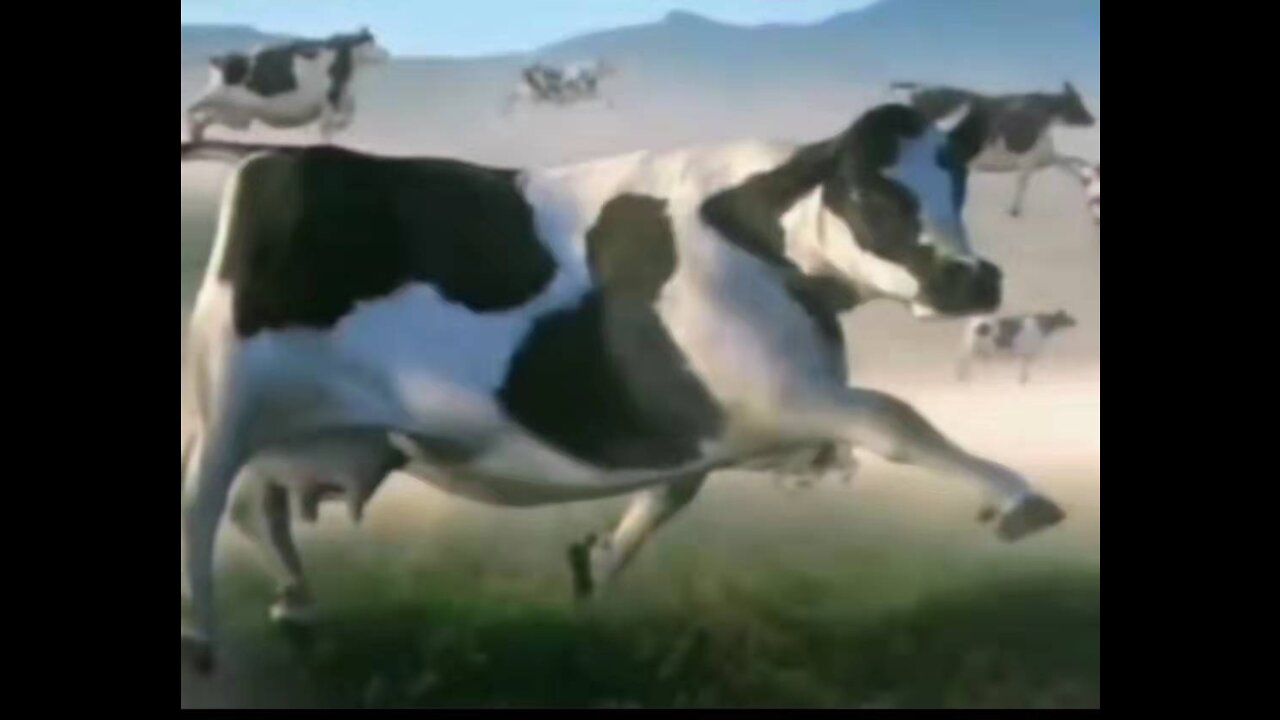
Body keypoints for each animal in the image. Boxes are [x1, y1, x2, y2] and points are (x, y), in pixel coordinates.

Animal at [179, 104, 1066, 673]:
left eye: (957, 184)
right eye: (870, 193)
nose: (970, 279)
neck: (757, 235)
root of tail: (281, 161)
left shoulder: (722, 417)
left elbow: (676, 491)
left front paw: (596, 560)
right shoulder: (780, 392)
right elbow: (896, 418)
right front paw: (1021, 500)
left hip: (305, 430)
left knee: (256, 505)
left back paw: (296, 603)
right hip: (229, 398)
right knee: (203, 499)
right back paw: (199, 634)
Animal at [185, 28, 390, 143]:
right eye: (372, 41)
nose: (387, 54)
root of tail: (219, 60)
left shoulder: (340, 97)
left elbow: (348, 116)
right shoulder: (329, 100)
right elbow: (327, 128)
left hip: (236, 115)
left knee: (204, 118)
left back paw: (196, 136)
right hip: (218, 97)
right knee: (193, 108)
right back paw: (192, 131)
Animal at [891, 81, 1096, 218]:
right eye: (1077, 102)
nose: (1093, 119)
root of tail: (918, 90)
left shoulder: (1045, 157)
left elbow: (1073, 162)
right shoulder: (1027, 158)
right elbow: (1023, 183)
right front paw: (1014, 211)